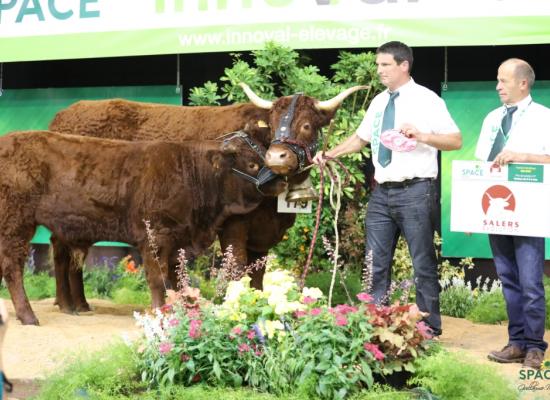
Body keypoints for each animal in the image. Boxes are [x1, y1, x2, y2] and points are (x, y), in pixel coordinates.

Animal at [0, 131, 284, 324]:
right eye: (252, 164)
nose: (282, 179)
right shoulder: (155, 237)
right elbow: (158, 279)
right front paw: (160, 312)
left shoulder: (176, 241)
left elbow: (176, 278)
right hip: (16, 223)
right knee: (12, 267)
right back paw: (28, 316)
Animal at [47, 83, 366, 310]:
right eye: (274, 125)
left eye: (307, 125)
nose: (276, 157)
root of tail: (63, 115)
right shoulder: (234, 225)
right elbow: (237, 269)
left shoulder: (263, 236)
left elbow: (258, 275)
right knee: (61, 250)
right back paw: (69, 304)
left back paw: (78, 303)